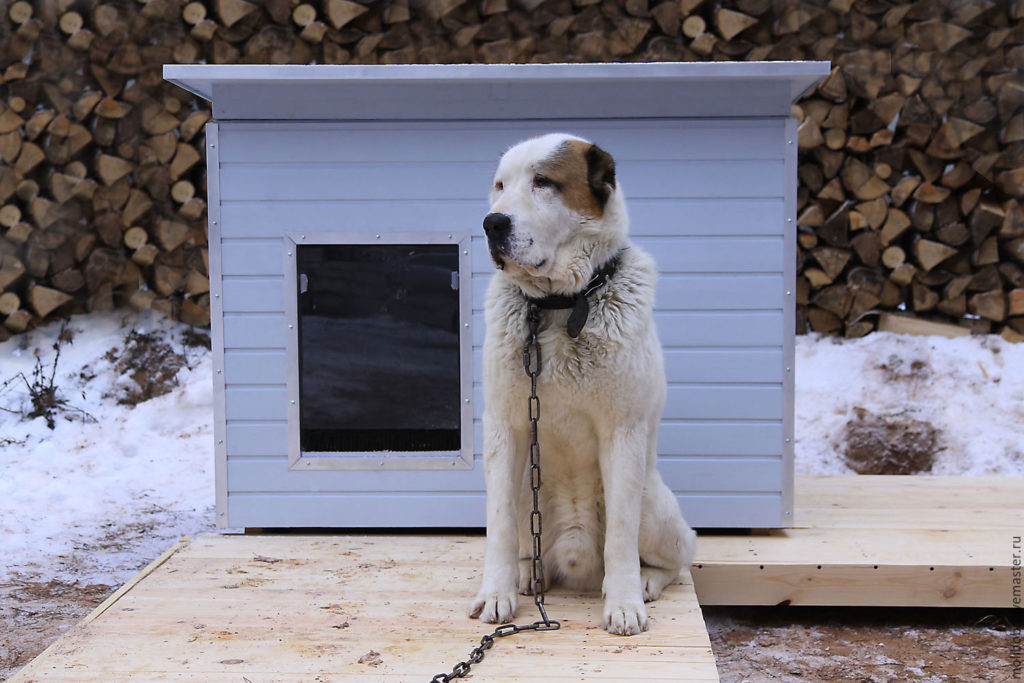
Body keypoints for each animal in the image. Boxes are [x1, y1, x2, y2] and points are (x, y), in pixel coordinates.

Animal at [468, 133, 696, 634]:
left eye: (543, 181)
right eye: (500, 185)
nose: (492, 223)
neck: (558, 306)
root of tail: (573, 564)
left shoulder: (623, 432)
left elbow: (622, 536)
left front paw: (625, 604)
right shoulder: (503, 428)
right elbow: (497, 527)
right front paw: (496, 594)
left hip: (652, 502)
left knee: (678, 556)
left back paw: (645, 582)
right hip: (525, 492)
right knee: (525, 542)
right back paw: (526, 576)